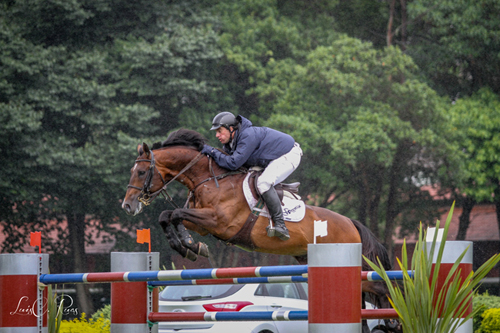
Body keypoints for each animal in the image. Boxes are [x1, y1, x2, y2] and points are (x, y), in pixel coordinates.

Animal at [123, 128, 400, 330]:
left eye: (141, 171)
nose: (127, 206)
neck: (210, 179)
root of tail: (351, 223)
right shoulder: (203, 224)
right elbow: (167, 216)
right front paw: (190, 247)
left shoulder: (218, 221)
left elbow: (176, 214)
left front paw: (189, 246)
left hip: (356, 264)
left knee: (384, 285)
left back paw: (395, 319)